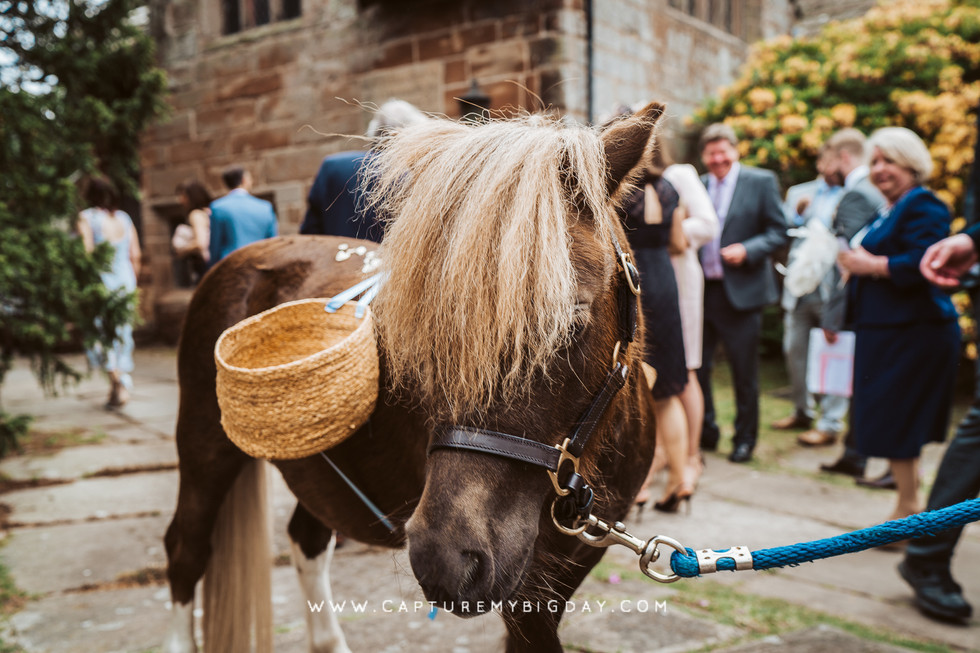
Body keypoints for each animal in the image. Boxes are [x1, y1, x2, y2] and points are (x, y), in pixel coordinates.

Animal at [162, 101, 665, 653]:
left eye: (570, 321)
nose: (446, 560)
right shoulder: (527, 591)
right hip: (205, 449)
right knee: (185, 549)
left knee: (306, 541)